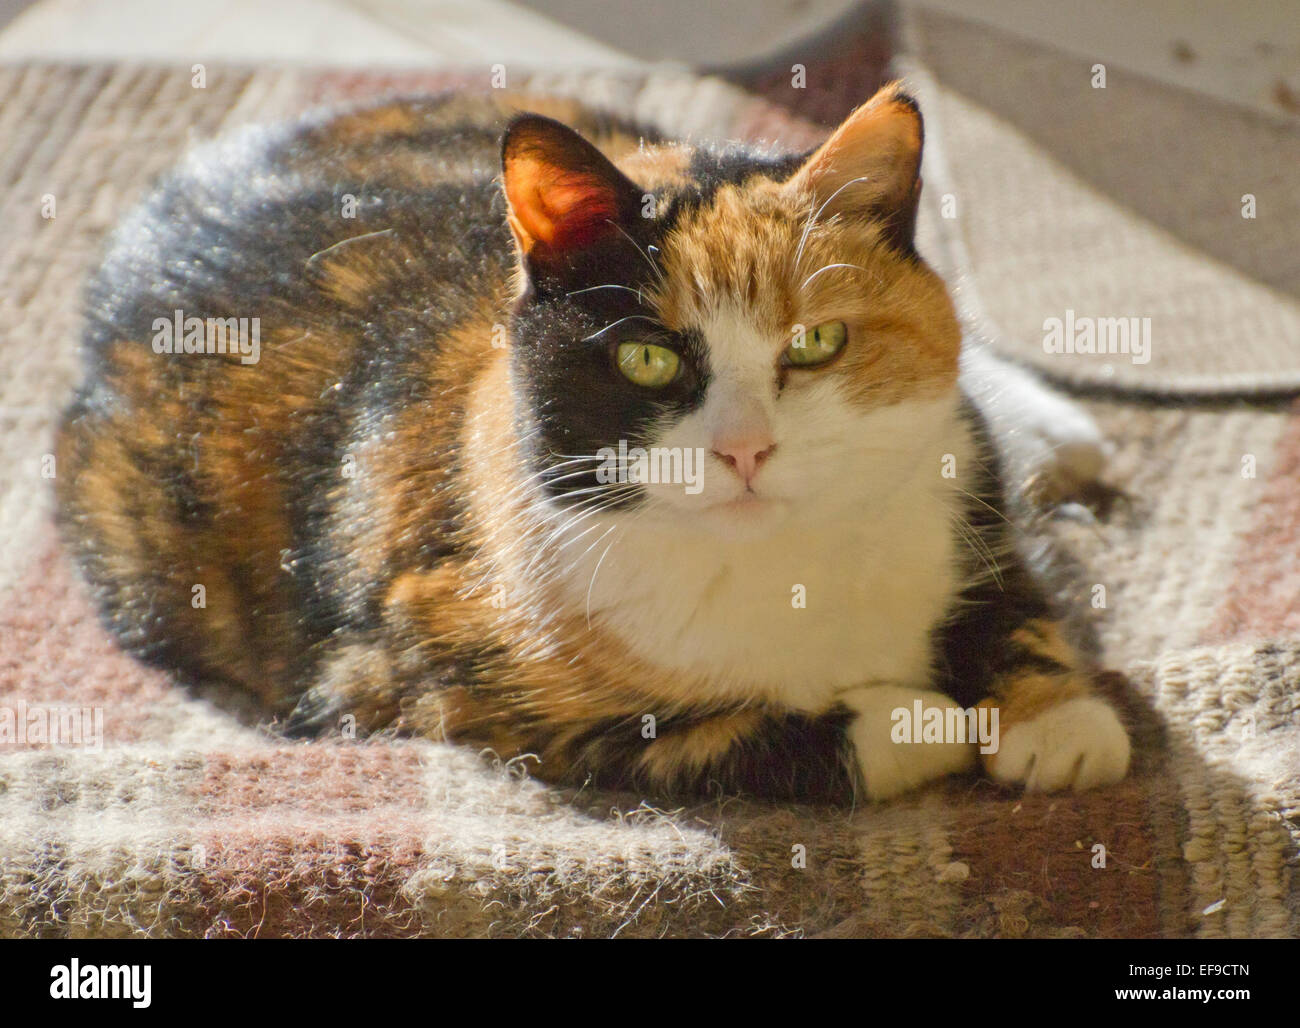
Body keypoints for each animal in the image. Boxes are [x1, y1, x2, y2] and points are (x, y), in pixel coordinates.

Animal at [55, 82, 1128, 805]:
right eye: (647, 359)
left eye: (817, 342)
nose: (745, 450)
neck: (790, 566)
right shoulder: (429, 683)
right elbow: (720, 743)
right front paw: (921, 721)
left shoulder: (962, 479)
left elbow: (1011, 595)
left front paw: (1060, 721)